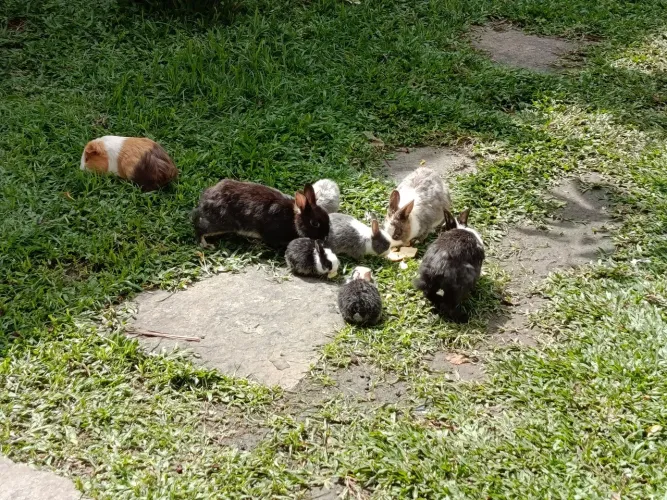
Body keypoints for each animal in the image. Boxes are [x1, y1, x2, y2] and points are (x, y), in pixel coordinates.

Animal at [192, 180, 330, 249]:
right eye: (314, 223)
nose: (325, 237)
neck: (293, 219)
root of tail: (205, 198)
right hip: (220, 223)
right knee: (200, 229)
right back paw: (206, 244)